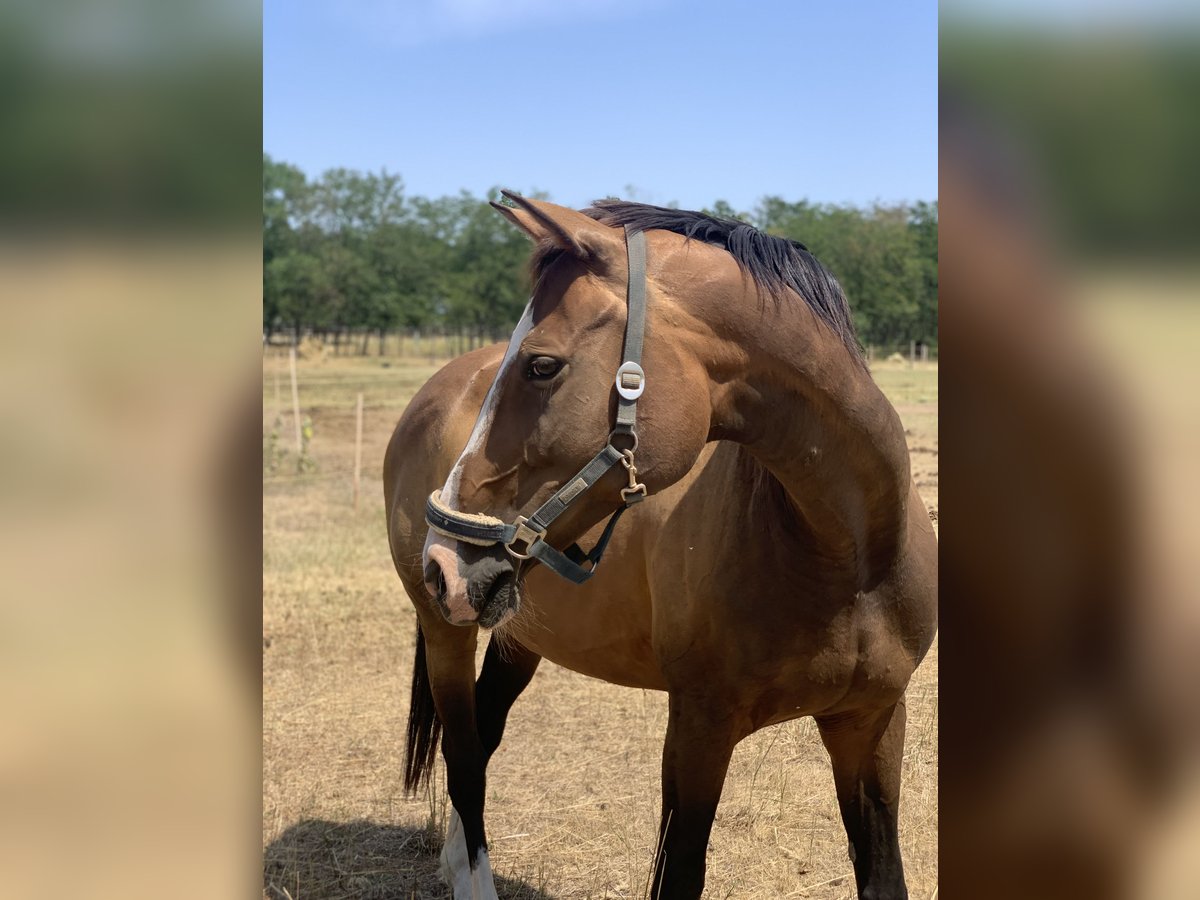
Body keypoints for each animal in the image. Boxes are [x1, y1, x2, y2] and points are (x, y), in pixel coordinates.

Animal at [384, 195, 936, 900]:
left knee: (481, 740)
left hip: (515, 637)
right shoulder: (698, 731)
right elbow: (678, 876)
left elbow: (884, 875)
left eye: (541, 365)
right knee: (462, 758)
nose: (443, 561)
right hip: (447, 631)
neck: (849, 563)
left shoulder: (873, 724)